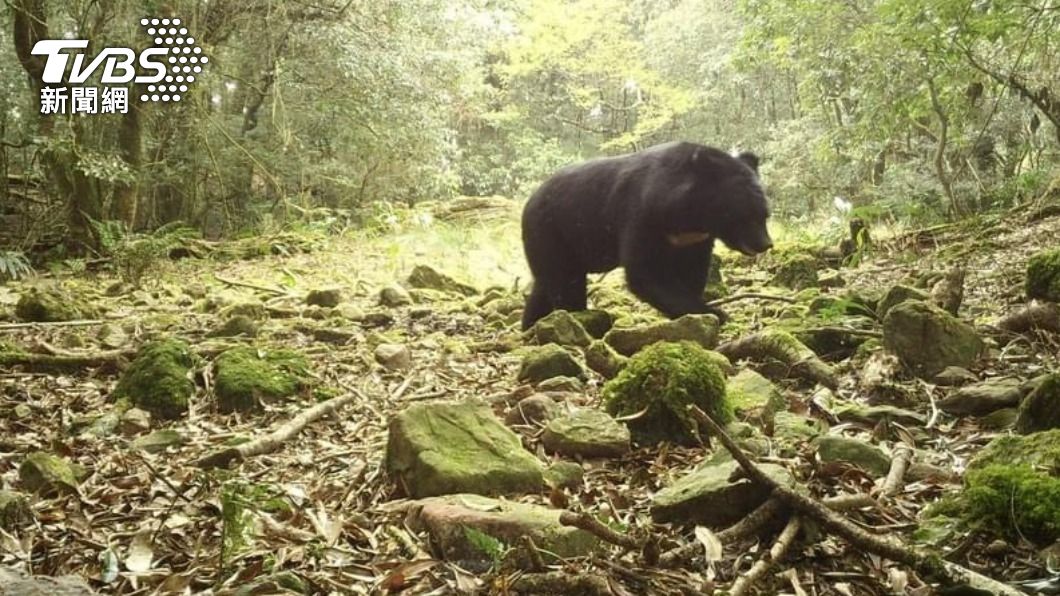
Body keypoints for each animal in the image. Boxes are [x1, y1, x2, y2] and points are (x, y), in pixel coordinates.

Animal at [521, 141, 773, 330]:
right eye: (746, 215)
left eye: (765, 214)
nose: (765, 244)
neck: (690, 217)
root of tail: (529, 201)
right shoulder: (642, 214)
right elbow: (645, 272)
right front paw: (715, 313)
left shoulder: (695, 239)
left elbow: (692, 271)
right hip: (551, 232)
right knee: (565, 281)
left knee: (544, 285)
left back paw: (530, 325)